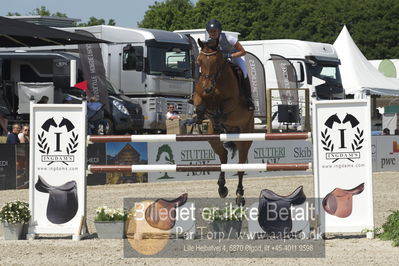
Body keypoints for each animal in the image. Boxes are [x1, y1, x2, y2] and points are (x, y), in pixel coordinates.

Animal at [193, 38, 255, 206]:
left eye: (216, 62)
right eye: (199, 61)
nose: (207, 87)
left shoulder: (231, 102)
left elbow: (223, 108)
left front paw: (217, 115)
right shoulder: (200, 95)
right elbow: (199, 102)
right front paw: (200, 115)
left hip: (245, 136)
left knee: (241, 165)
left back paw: (239, 195)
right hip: (213, 138)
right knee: (223, 156)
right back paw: (222, 188)